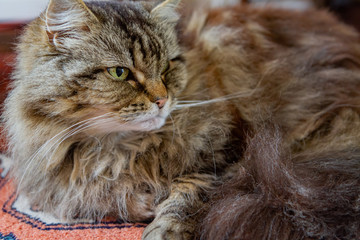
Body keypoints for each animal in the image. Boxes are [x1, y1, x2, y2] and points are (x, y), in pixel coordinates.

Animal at [2, 0, 360, 239]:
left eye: (167, 67)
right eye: (120, 73)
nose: (163, 100)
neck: (124, 149)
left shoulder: (227, 157)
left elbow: (187, 193)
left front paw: (164, 226)